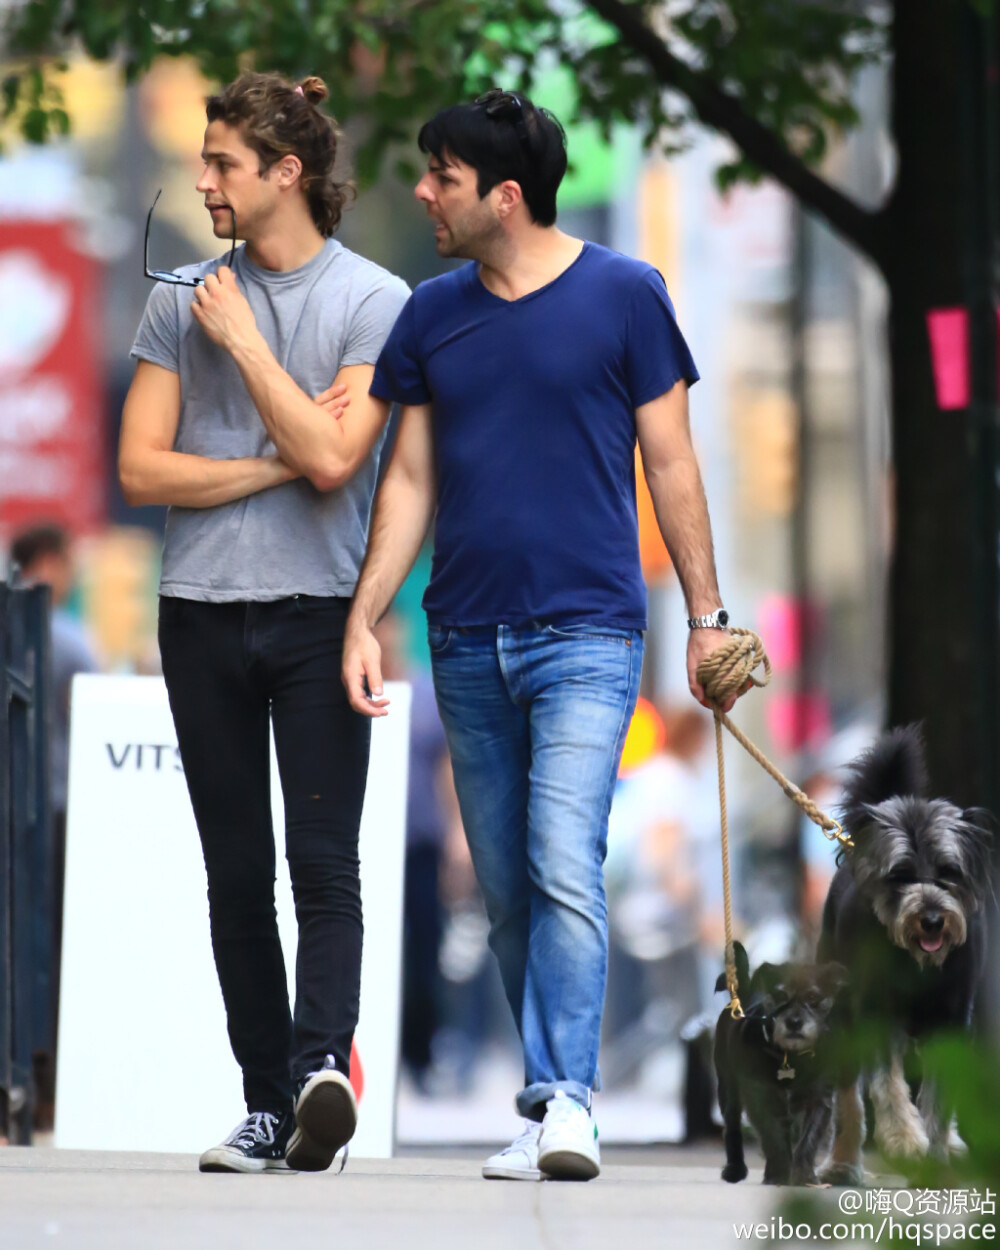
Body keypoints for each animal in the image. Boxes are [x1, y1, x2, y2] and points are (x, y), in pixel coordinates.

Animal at [715, 940, 850, 1185]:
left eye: (813, 998)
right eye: (779, 995)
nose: (794, 1022)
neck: (791, 1057)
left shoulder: (819, 1099)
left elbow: (807, 1140)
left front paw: (804, 1176)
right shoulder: (760, 1095)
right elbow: (773, 1136)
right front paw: (778, 1175)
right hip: (727, 1087)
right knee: (732, 1127)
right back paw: (735, 1170)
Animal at [820, 725, 990, 1180]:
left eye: (949, 872)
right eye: (900, 875)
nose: (931, 919)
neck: (919, 966)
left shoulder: (953, 1022)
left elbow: (940, 1099)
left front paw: (936, 1156)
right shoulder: (876, 1016)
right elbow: (889, 1086)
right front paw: (905, 1142)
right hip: (840, 1017)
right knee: (848, 1098)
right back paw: (842, 1162)